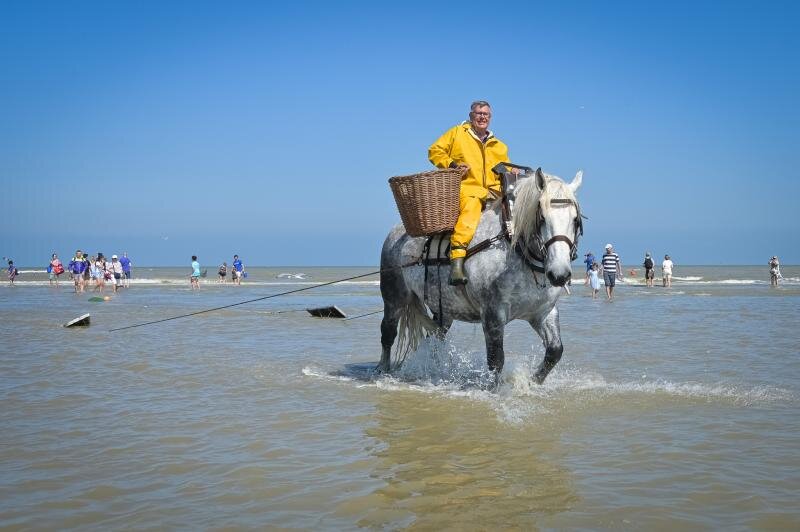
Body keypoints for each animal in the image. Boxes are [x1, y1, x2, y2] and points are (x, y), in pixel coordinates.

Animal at [378, 167, 584, 386]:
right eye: (542, 217)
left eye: (575, 220)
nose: (559, 274)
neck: (516, 250)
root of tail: (397, 233)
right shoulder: (493, 314)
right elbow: (496, 360)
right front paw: (495, 388)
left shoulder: (544, 312)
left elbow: (555, 351)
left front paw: (533, 381)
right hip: (394, 299)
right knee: (388, 333)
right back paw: (382, 369)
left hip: (444, 311)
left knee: (434, 340)